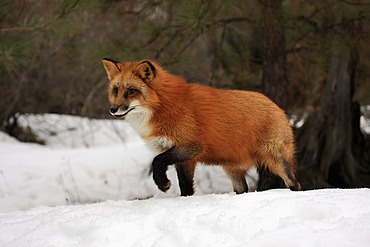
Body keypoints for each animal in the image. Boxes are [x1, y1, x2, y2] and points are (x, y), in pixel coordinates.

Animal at [101, 58, 300, 196]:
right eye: (116, 90)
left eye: (131, 91)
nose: (112, 109)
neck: (164, 106)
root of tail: (279, 107)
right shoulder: (182, 158)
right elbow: (186, 187)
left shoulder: (191, 147)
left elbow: (156, 161)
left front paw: (163, 183)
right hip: (233, 172)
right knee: (243, 190)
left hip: (276, 161)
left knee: (295, 184)